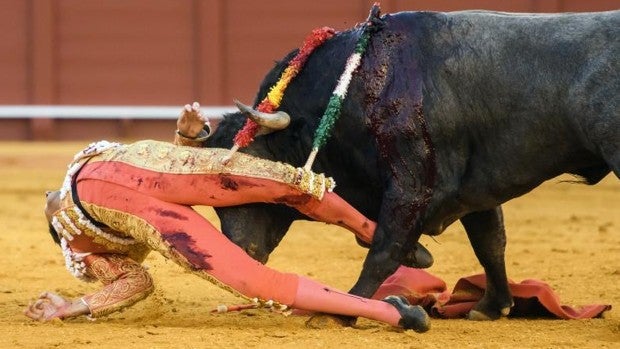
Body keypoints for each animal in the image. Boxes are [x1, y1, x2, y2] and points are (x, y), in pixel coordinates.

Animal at [205, 9, 620, 320]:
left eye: (237, 182)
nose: (238, 253)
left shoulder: (411, 184)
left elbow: (384, 249)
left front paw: (341, 310)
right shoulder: (476, 188)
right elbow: (490, 242)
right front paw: (492, 306)